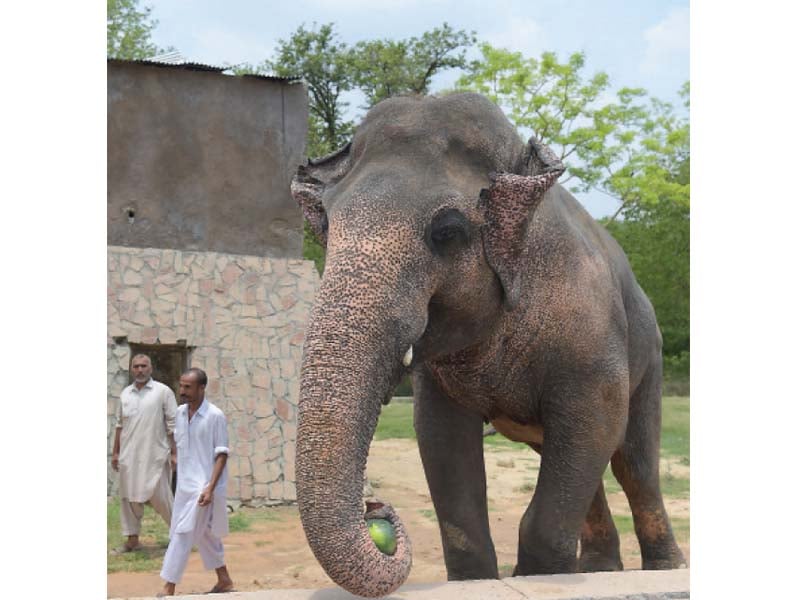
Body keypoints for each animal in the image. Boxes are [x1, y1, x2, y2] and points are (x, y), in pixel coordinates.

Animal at [290, 91, 684, 596]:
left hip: (649, 355)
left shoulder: (591, 333)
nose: (375, 507)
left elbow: (596, 419)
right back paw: (600, 569)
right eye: (326, 226)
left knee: (633, 465)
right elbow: (440, 438)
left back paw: (663, 568)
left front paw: (537, 575)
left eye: (448, 231)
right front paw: (482, 578)